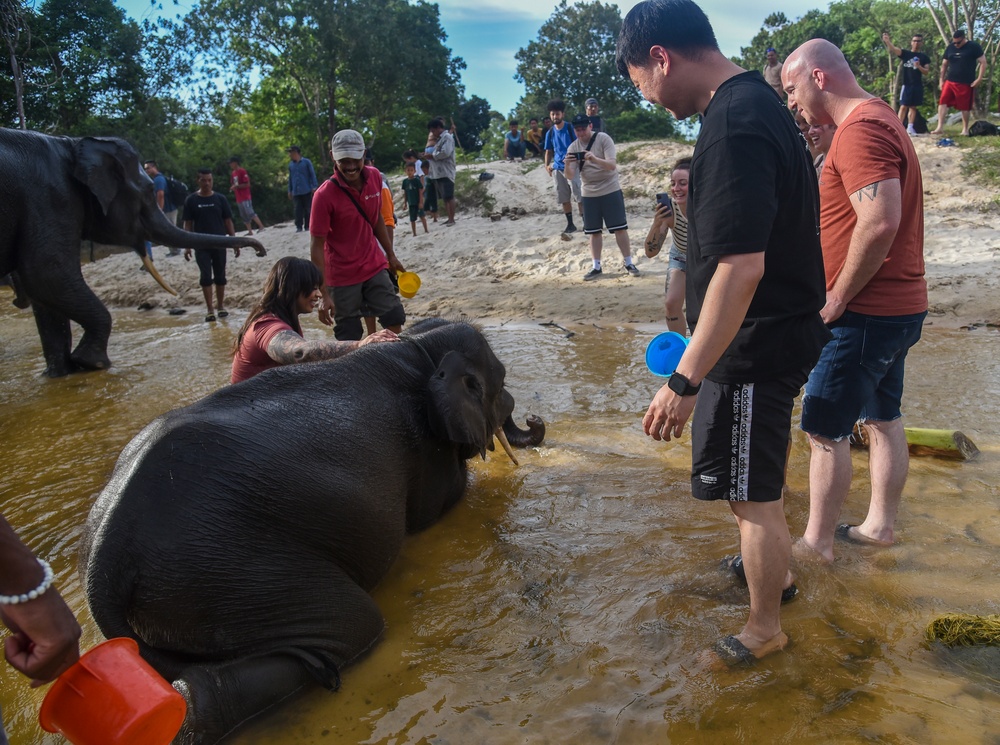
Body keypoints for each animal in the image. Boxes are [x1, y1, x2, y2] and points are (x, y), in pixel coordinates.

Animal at [0, 125, 266, 378]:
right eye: (147, 191)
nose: (260, 251)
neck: (70, 144)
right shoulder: (50, 198)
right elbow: (46, 278)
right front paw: (79, 368)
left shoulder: (51, 200)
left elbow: (45, 280)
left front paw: (84, 364)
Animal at [79, 320, 548, 744]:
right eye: (501, 381)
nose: (531, 415)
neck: (418, 345)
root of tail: (106, 551)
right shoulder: (425, 450)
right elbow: (440, 505)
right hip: (233, 574)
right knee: (354, 625)